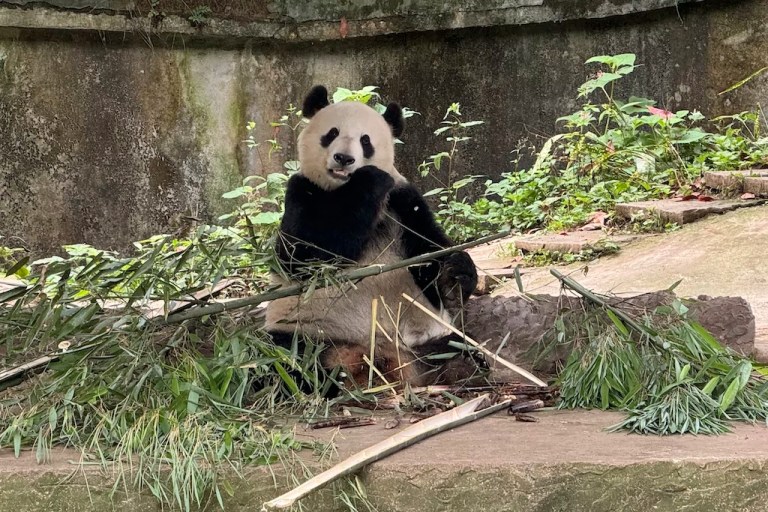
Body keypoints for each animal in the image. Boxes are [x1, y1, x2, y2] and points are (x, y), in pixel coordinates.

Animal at [264, 85, 481, 389]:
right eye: (332, 133)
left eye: (365, 141)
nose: (344, 159)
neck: (342, 189)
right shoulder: (302, 191)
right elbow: (303, 257)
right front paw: (369, 180)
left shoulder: (403, 203)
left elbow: (430, 250)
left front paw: (455, 278)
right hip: (305, 330)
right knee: (284, 357)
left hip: (425, 339)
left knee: (459, 346)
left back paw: (460, 366)